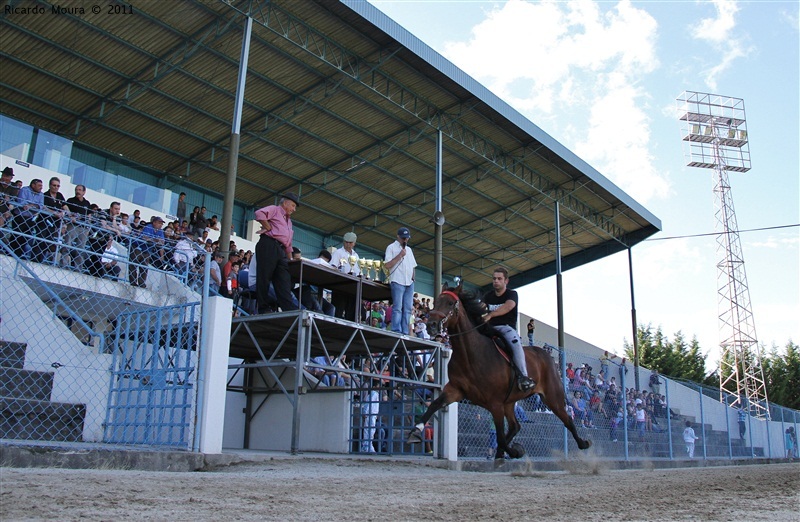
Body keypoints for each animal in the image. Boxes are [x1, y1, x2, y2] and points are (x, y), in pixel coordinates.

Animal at [410, 282, 592, 458]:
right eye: (435, 302)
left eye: (449, 303)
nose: (431, 325)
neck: (471, 354)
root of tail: (547, 356)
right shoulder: (455, 390)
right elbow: (434, 405)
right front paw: (415, 432)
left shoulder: (495, 403)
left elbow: (501, 437)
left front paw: (514, 451)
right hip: (510, 402)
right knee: (515, 426)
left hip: (552, 397)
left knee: (567, 420)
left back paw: (584, 443)